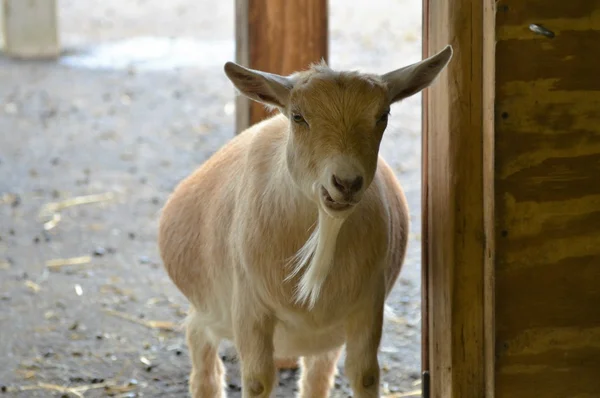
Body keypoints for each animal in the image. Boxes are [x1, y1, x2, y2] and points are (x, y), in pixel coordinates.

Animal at [157, 45, 452, 396]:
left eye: (384, 115)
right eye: (298, 116)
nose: (346, 182)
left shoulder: (367, 305)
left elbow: (365, 374)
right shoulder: (249, 308)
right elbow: (257, 380)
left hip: (324, 337)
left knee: (317, 375)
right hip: (207, 313)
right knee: (204, 364)